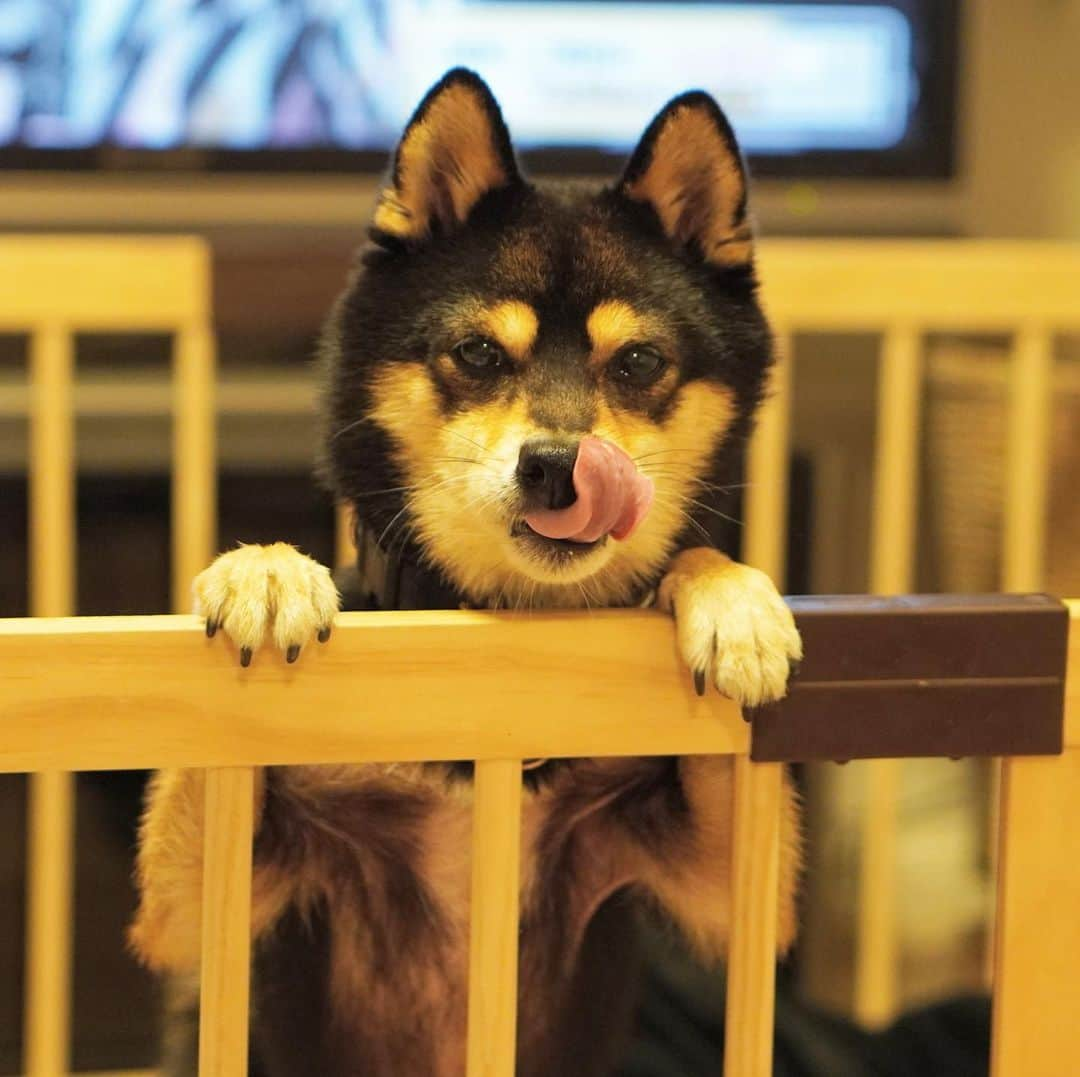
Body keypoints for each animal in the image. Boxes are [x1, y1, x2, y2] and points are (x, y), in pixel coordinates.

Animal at [132, 69, 803, 1075]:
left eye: (639, 360)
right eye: (481, 353)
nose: (559, 467)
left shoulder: (724, 892)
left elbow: (697, 560)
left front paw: (731, 597)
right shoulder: (193, 915)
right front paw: (267, 572)